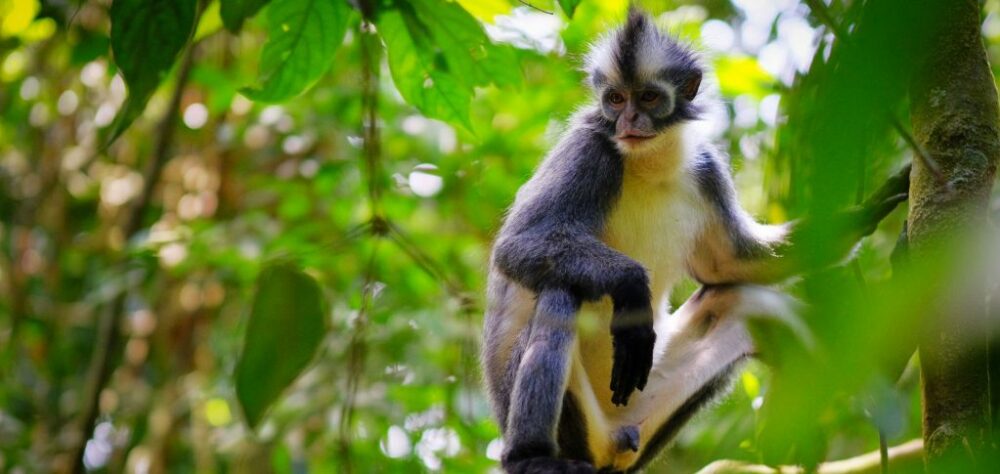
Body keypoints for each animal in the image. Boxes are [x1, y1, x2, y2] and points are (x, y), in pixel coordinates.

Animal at [481, 8, 910, 474]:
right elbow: (517, 245)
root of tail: (609, 445)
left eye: (648, 98)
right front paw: (633, 286)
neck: (646, 163)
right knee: (562, 289)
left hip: (645, 408)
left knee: (739, 301)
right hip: (579, 423)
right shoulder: (588, 150)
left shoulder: (705, 170)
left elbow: (729, 264)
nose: (629, 122)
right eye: (615, 100)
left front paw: (869, 212)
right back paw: (531, 456)